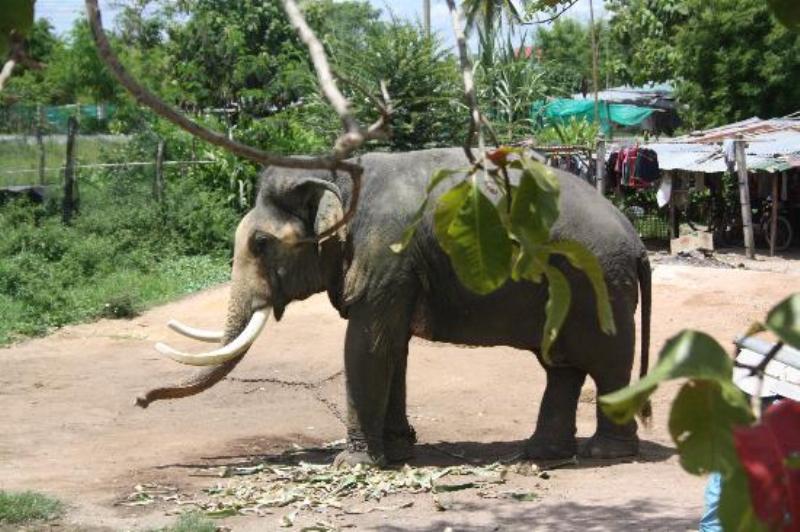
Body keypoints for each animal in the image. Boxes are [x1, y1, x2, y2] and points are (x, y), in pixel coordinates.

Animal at [138, 148, 648, 468]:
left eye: (260, 244)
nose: (140, 400)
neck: (337, 178)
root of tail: (638, 243)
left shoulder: (386, 253)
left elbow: (367, 346)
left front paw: (352, 465)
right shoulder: (398, 271)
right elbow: (393, 347)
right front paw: (400, 453)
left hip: (601, 285)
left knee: (605, 364)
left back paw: (602, 454)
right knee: (561, 367)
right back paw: (538, 454)